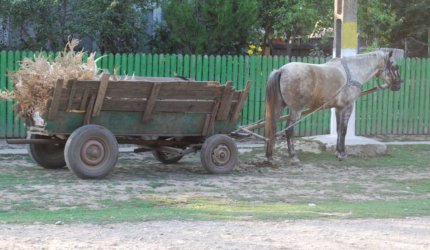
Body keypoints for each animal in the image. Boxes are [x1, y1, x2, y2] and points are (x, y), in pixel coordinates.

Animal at [266, 51, 404, 163]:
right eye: (395, 66)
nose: (398, 84)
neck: (352, 72)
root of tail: (282, 70)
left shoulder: (338, 108)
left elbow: (338, 129)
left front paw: (338, 152)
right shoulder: (348, 107)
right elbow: (343, 130)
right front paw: (342, 154)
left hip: (279, 107)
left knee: (272, 127)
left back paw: (269, 156)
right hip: (296, 109)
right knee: (289, 130)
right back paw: (293, 156)